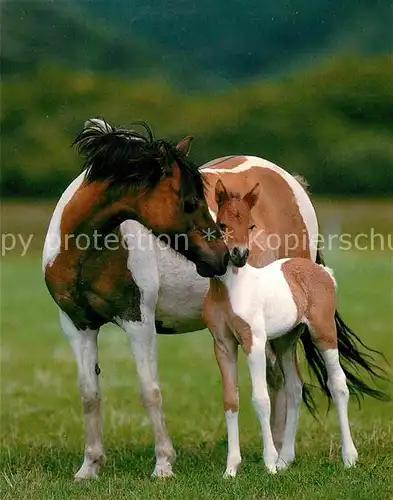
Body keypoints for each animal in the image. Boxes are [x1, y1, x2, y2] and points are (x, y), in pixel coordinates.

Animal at [43, 119, 227, 482]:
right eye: (189, 202)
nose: (225, 256)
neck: (85, 252)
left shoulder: (137, 322)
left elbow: (149, 390)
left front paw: (164, 465)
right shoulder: (77, 325)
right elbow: (89, 393)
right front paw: (89, 467)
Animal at [202, 180, 358, 476]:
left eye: (251, 225)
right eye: (222, 224)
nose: (239, 256)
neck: (229, 290)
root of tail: (322, 271)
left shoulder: (253, 341)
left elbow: (261, 399)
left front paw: (269, 464)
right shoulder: (223, 344)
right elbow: (230, 401)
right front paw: (231, 468)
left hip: (324, 334)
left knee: (338, 385)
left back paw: (349, 457)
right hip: (287, 340)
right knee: (294, 389)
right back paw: (286, 459)